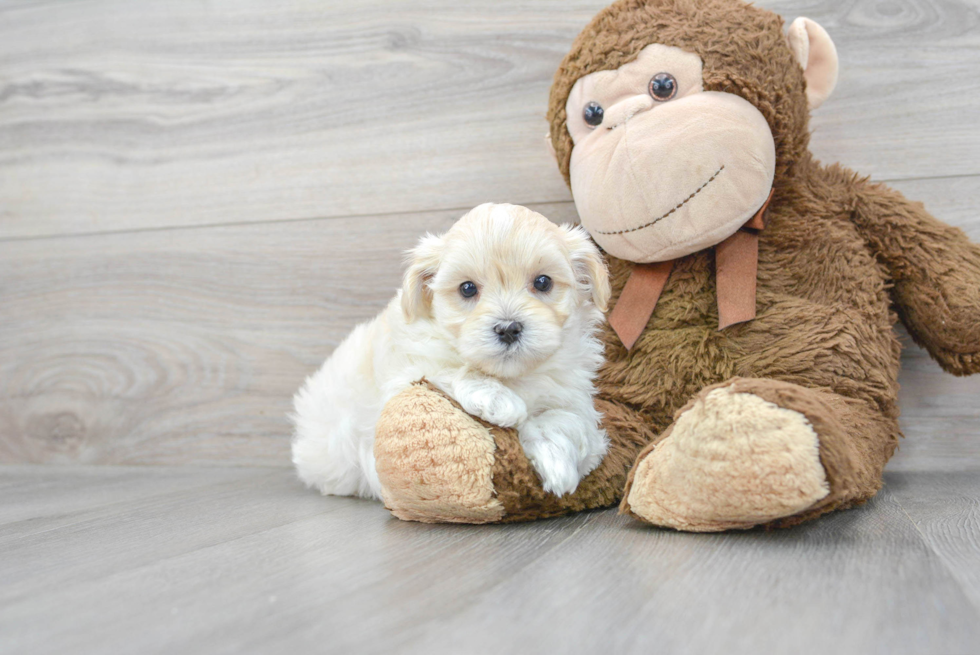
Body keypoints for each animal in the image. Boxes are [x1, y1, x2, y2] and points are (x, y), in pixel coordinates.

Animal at [292, 202, 612, 500]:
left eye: (543, 282)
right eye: (467, 288)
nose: (508, 328)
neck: (511, 376)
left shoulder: (575, 399)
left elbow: (565, 420)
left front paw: (556, 463)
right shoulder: (402, 376)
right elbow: (449, 369)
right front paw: (497, 399)